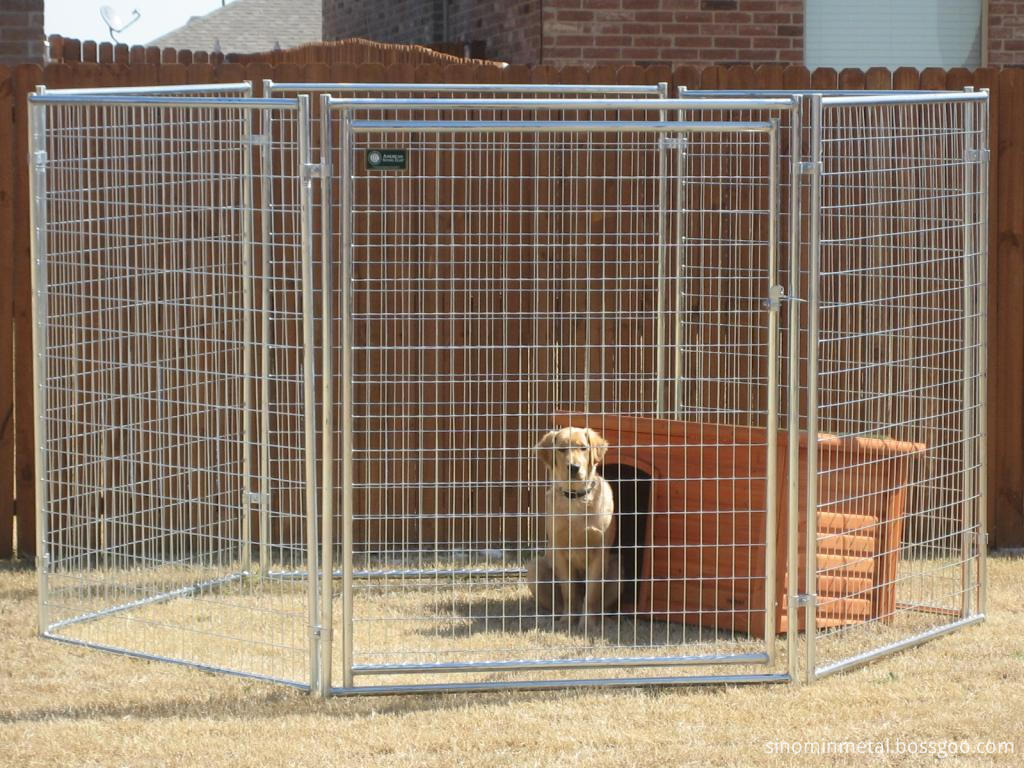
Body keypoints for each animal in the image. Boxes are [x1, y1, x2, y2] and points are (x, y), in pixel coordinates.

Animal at [532, 428, 618, 630]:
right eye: (562, 449)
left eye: (583, 448)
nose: (574, 467)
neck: (576, 497)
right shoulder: (561, 552)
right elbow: (569, 592)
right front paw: (567, 621)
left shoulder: (598, 552)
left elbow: (592, 593)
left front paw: (587, 624)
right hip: (535, 567)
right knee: (556, 605)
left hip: (618, 568)